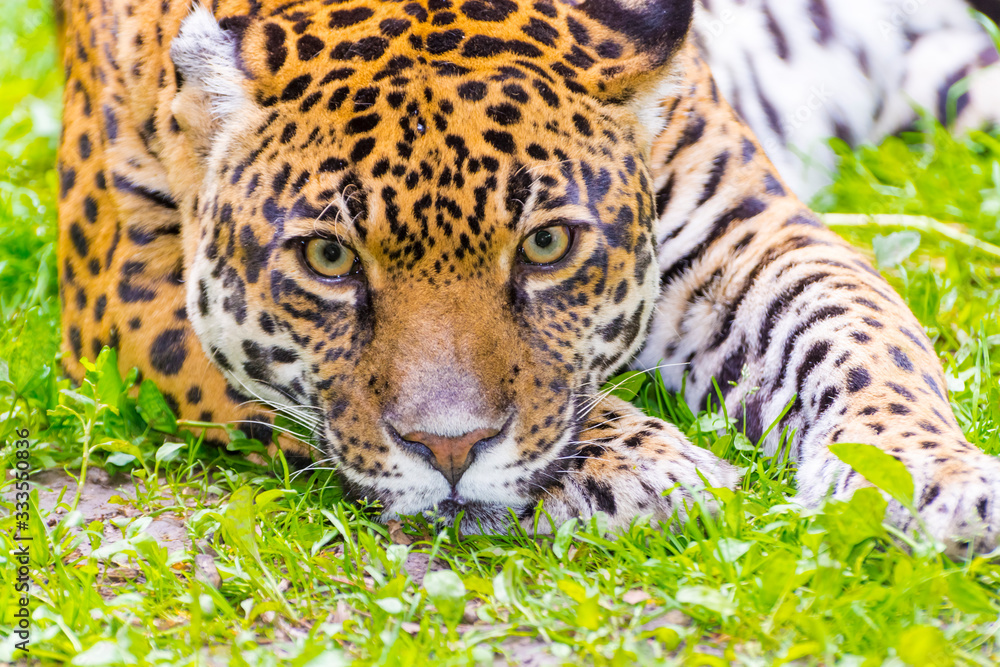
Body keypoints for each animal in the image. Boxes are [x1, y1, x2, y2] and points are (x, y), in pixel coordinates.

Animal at [56, 0, 1000, 557]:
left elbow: (860, 336)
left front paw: (927, 478)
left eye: (546, 245)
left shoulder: (746, 233)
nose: (448, 451)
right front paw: (646, 469)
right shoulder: (129, 286)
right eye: (328, 259)